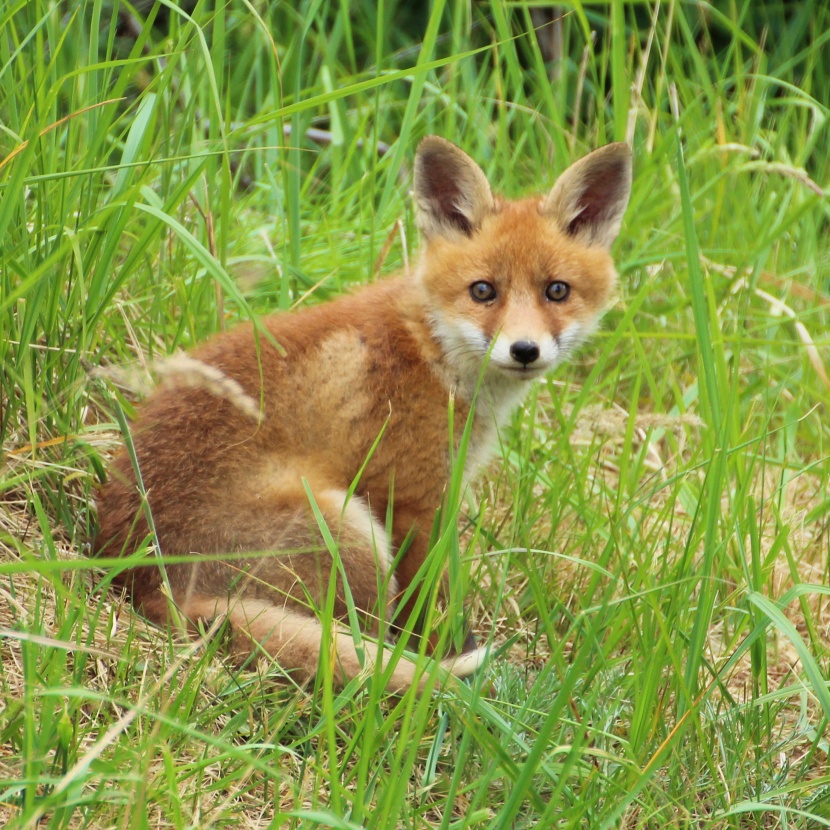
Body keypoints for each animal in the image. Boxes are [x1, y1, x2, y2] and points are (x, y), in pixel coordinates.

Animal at [94, 136, 632, 692]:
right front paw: (443, 654)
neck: (431, 349)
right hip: (352, 529)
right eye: (483, 291)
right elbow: (428, 605)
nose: (525, 350)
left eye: (557, 290)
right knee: (364, 638)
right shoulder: (411, 499)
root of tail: (149, 585)